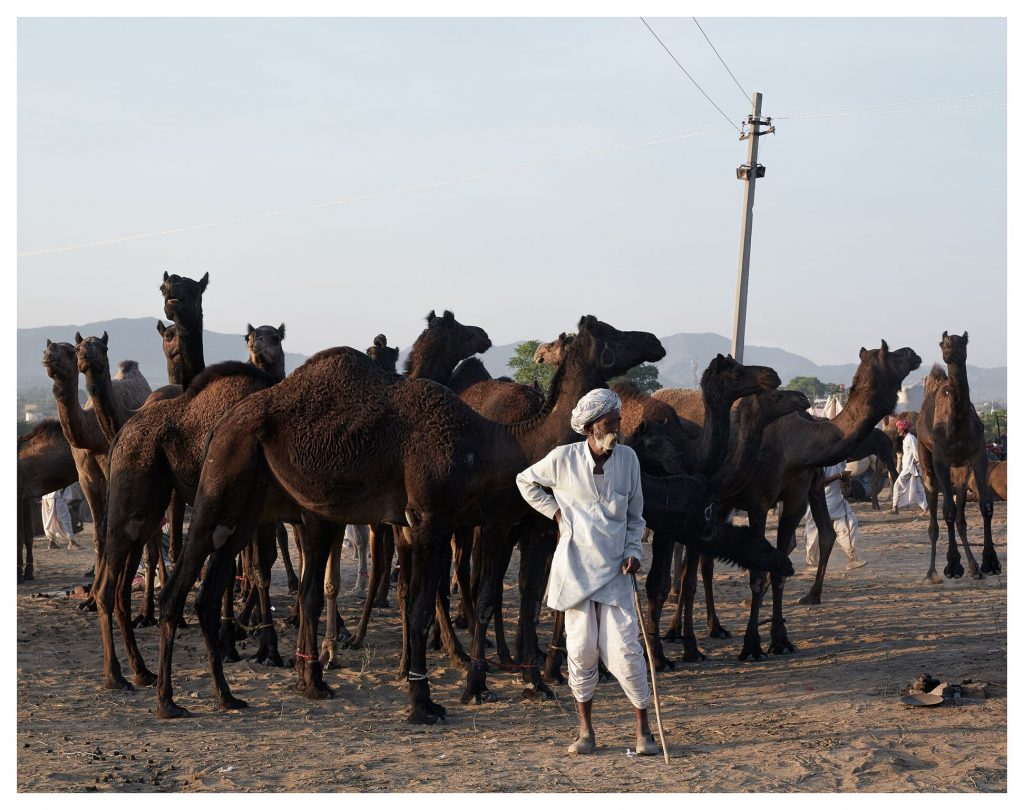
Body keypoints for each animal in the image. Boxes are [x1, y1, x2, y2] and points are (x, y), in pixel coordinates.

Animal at [93, 325, 288, 692]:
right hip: (131, 493)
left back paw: (141, 670)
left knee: (122, 587)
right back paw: (114, 676)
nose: (257, 344)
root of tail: (121, 435)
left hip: (149, 505)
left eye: (275, 338)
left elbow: (255, 567)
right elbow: (256, 569)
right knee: (106, 587)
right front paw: (261, 649)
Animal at [151, 315, 663, 720]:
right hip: (219, 487)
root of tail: (222, 423)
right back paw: (168, 701)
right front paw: (424, 703)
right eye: (610, 332)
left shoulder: (450, 521)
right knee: (177, 590)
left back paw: (231, 695)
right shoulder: (431, 516)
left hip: (247, 511)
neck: (494, 444)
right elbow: (419, 607)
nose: (655, 340)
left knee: (209, 592)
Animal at [913, 331, 999, 581]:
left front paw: (990, 562)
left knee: (961, 516)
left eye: (962, 342)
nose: (950, 347)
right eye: (944, 343)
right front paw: (952, 565)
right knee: (934, 508)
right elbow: (948, 511)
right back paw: (932, 573)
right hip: (925, 454)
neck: (958, 427)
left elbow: (985, 505)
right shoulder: (941, 459)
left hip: (960, 468)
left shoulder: (977, 455)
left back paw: (973, 567)